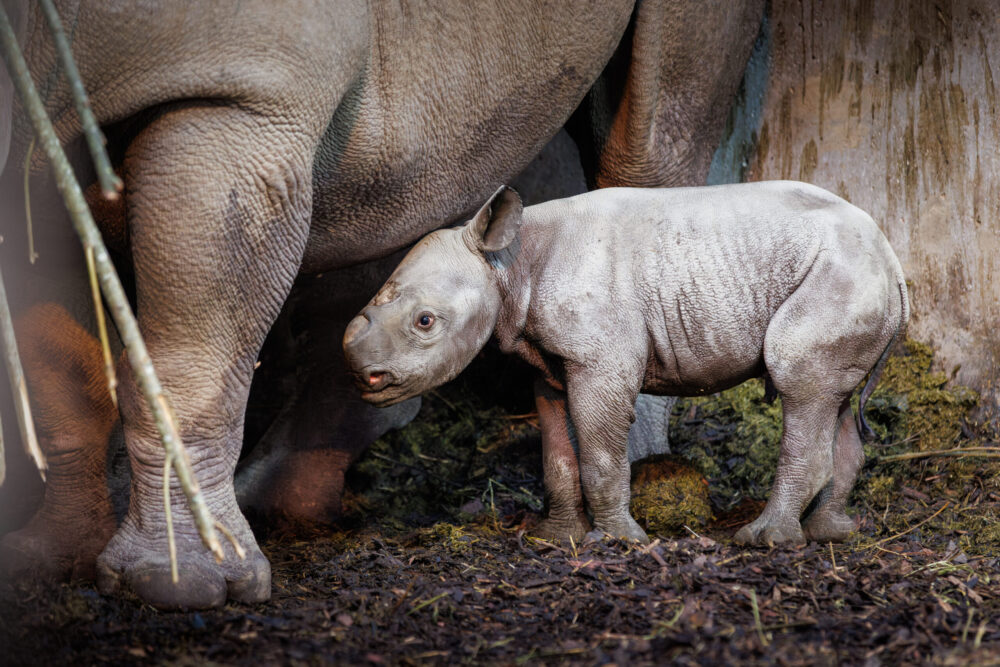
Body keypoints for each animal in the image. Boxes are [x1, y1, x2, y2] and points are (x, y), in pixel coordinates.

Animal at [343, 182, 909, 545]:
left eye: (424, 322)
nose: (367, 379)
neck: (506, 262)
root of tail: (892, 256)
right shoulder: (546, 363)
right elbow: (557, 455)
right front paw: (556, 539)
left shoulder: (602, 360)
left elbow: (599, 453)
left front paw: (620, 541)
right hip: (853, 276)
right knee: (831, 398)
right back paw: (830, 534)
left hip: (841, 275)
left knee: (800, 386)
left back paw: (764, 541)